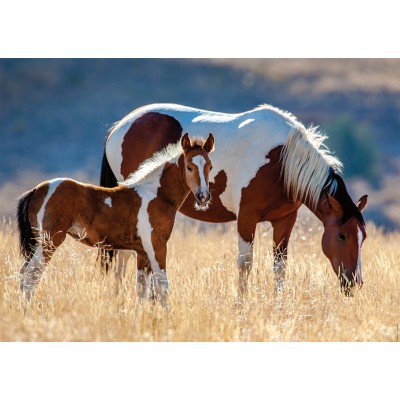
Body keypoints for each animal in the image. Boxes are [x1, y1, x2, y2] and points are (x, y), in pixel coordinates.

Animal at [16, 132, 216, 304]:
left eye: (210, 166)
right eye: (189, 167)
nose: (203, 197)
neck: (158, 195)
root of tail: (36, 191)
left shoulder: (142, 252)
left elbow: (141, 290)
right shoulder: (157, 246)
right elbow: (162, 287)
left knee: (24, 274)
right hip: (49, 242)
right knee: (30, 276)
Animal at [101, 103, 368, 296]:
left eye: (362, 237)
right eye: (342, 235)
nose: (353, 283)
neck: (281, 161)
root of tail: (118, 128)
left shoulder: (284, 221)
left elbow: (279, 267)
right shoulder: (246, 219)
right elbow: (245, 265)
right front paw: (241, 306)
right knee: (124, 255)